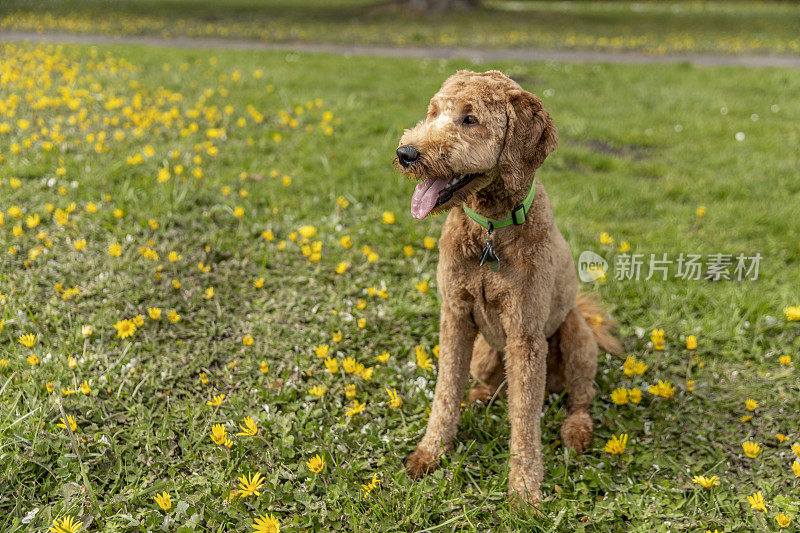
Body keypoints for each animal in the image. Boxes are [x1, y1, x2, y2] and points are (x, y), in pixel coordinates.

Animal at [396, 71, 620, 508]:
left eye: (470, 119)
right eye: (434, 112)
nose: (406, 153)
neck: (490, 230)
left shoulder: (525, 335)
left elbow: (525, 418)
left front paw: (525, 489)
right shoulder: (455, 315)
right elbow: (445, 392)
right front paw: (431, 451)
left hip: (576, 336)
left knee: (579, 397)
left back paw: (576, 431)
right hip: (486, 353)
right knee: (493, 384)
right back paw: (480, 397)